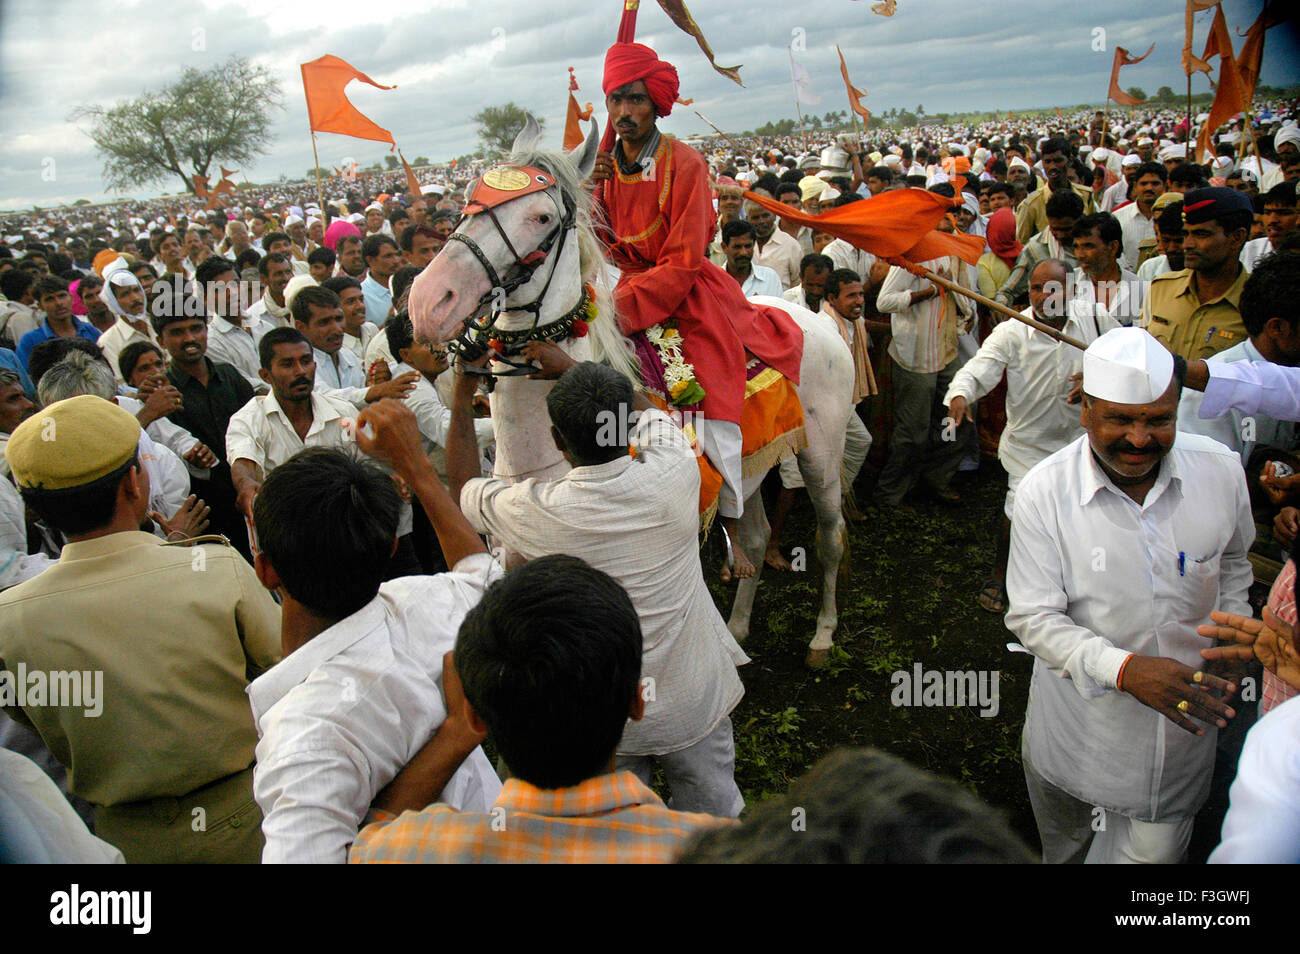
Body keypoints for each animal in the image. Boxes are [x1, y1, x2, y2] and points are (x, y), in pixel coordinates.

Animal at [405, 117, 852, 665]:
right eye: (468, 199)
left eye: (540, 216)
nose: (430, 300)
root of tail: (818, 322)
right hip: (751, 461)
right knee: (754, 534)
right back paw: (739, 626)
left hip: (821, 456)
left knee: (830, 536)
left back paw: (823, 634)